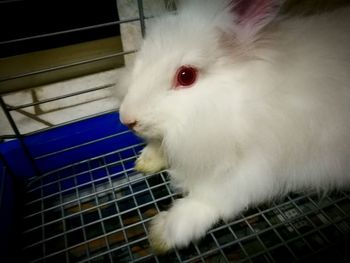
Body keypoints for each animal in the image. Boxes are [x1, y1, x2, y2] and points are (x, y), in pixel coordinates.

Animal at [119, 0, 350, 256]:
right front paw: (146, 161)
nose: (126, 119)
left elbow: (212, 197)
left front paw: (164, 232)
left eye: (186, 76)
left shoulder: (256, 169)